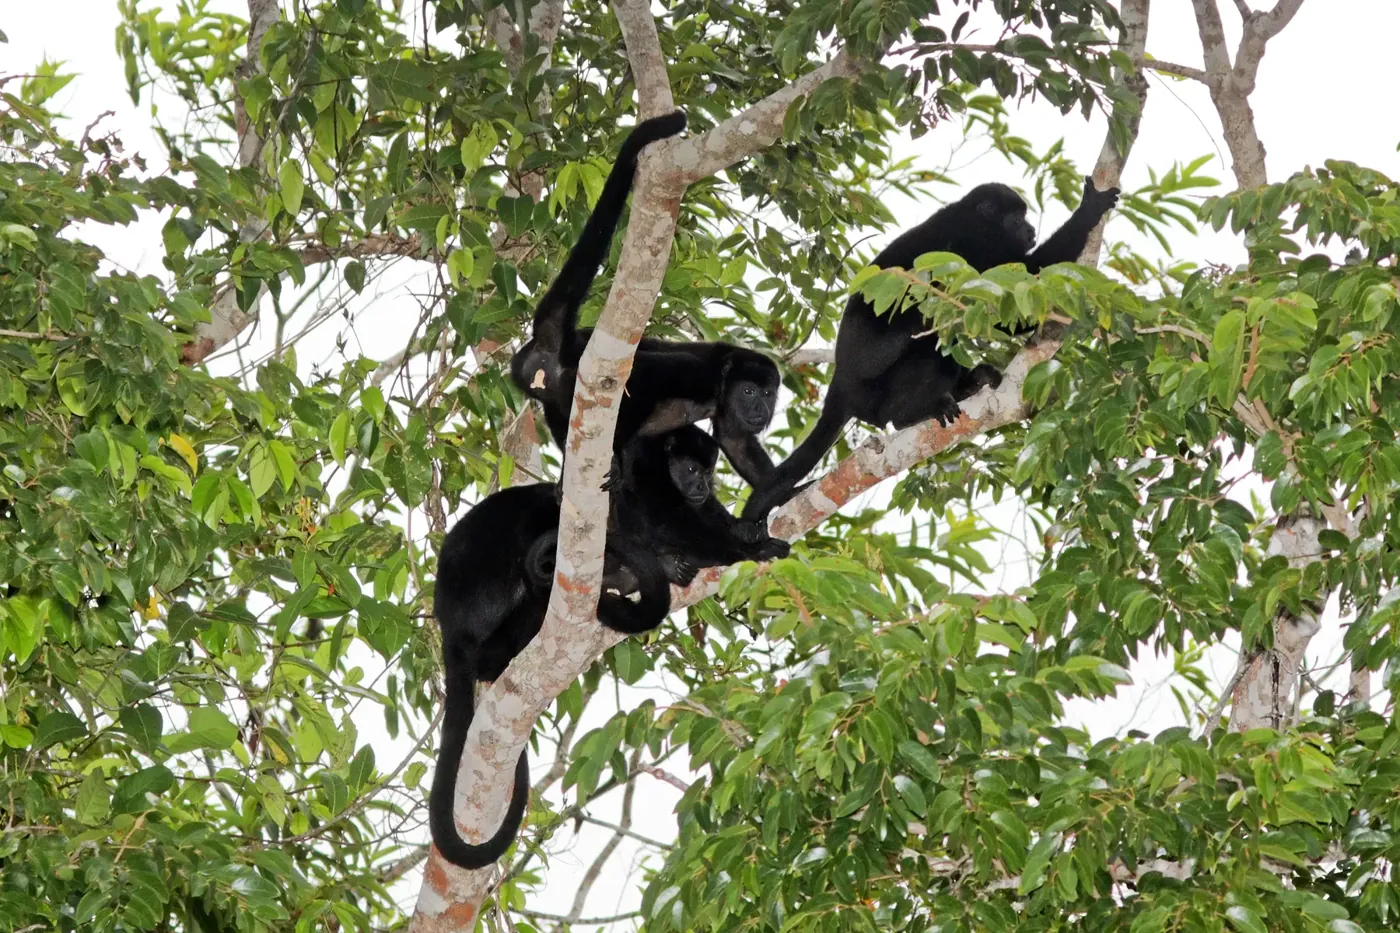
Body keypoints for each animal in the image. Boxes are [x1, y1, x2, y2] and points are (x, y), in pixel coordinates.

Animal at [509, 111, 782, 490]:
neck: (722, 386)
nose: (761, 410)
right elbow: (641, 377)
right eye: (749, 392)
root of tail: (559, 342)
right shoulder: (698, 375)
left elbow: (738, 442)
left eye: (768, 394)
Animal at [738, 176, 1120, 530]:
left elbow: (1007, 316)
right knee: (922, 346)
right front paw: (1088, 211)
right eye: (1015, 219)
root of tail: (842, 384)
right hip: (872, 394)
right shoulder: (965, 252)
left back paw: (969, 384)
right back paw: (910, 412)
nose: (1030, 229)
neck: (976, 229)